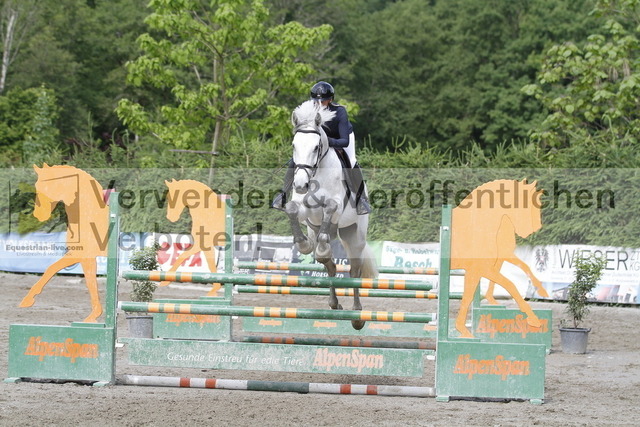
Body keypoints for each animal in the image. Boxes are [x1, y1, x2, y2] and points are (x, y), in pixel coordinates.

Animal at [20, 164, 109, 323]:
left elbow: (90, 283)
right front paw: (28, 299)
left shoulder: (84, 256)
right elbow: (52, 269)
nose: (38, 215)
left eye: (48, 187)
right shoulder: (81, 256)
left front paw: (92, 317)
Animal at [284, 100, 378, 330]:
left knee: (354, 270)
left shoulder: (335, 204)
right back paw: (334, 303)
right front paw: (304, 244)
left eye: (316, 147)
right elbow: (292, 209)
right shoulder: (304, 209)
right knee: (330, 266)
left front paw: (320, 247)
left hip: (354, 235)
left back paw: (357, 315)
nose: (301, 184)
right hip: (317, 228)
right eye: (294, 146)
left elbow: (330, 208)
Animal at [451, 179, 550, 338]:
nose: (533, 230)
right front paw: (533, 319)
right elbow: (510, 284)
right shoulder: (482, 268)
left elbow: (468, 296)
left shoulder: (483, 267)